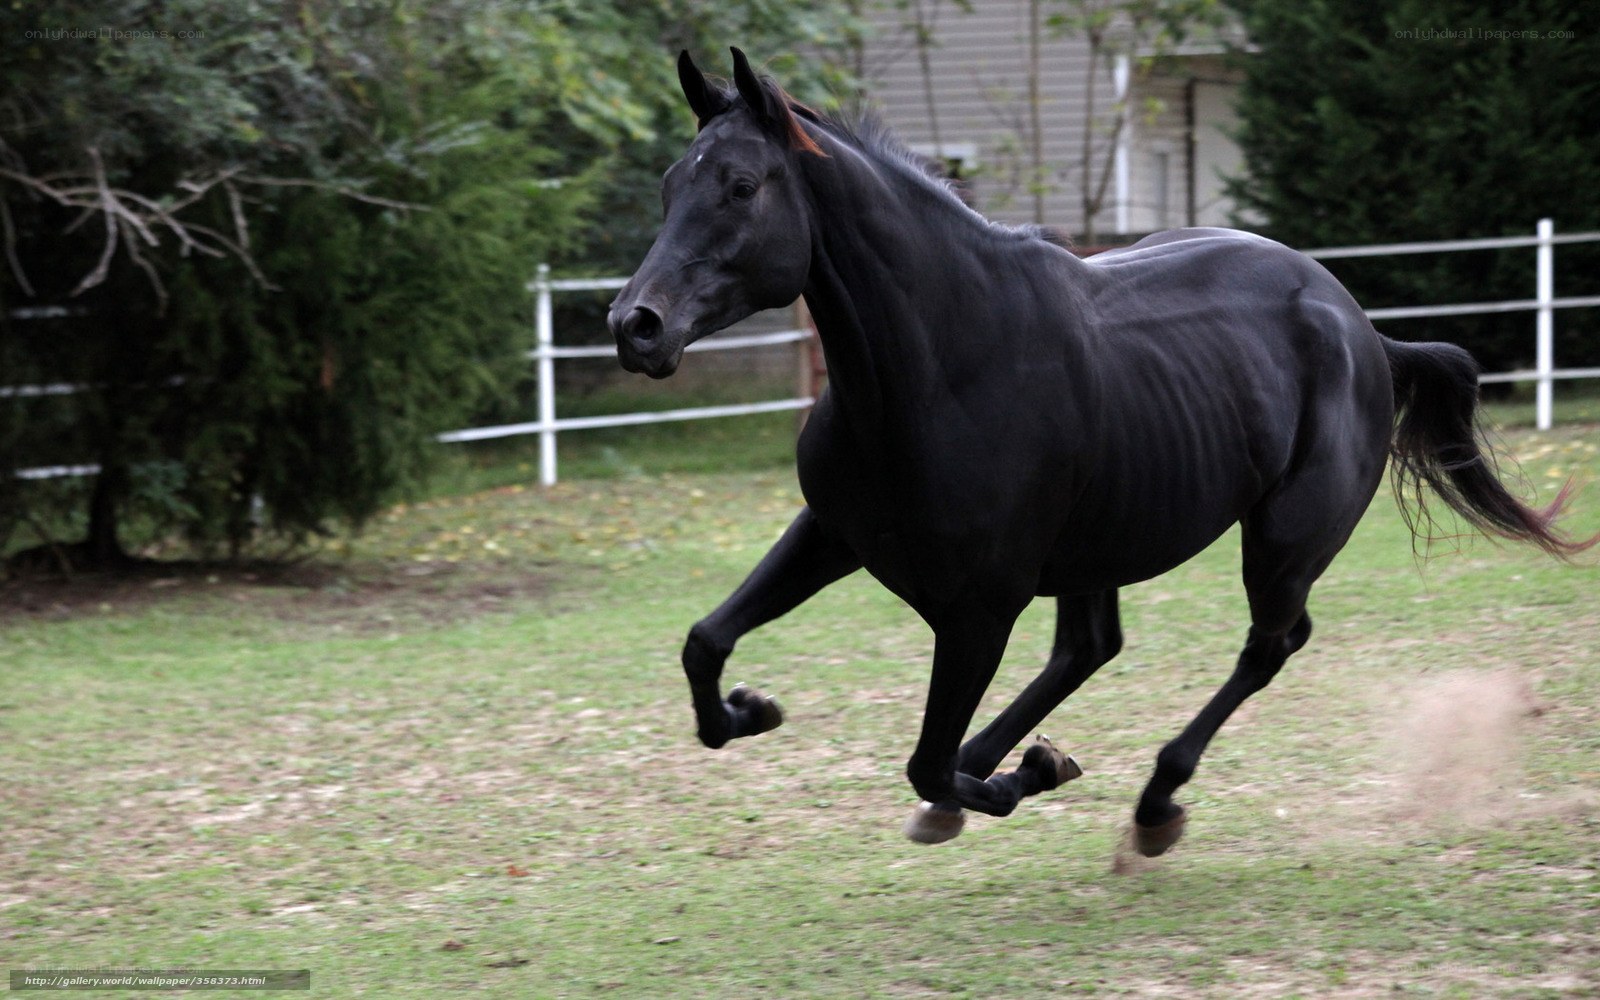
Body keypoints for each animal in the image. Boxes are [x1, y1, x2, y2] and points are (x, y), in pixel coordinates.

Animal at [606, 48, 1592, 855]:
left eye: (740, 186)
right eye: (669, 184)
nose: (635, 326)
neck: (943, 363)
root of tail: (1363, 330)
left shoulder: (979, 607)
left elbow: (924, 757)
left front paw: (1023, 777)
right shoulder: (835, 533)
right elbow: (705, 642)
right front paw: (751, 710)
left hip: (1281, 541)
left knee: (1268, 644)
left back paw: (1151, 804)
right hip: (1102, 539)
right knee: (1092, 648)